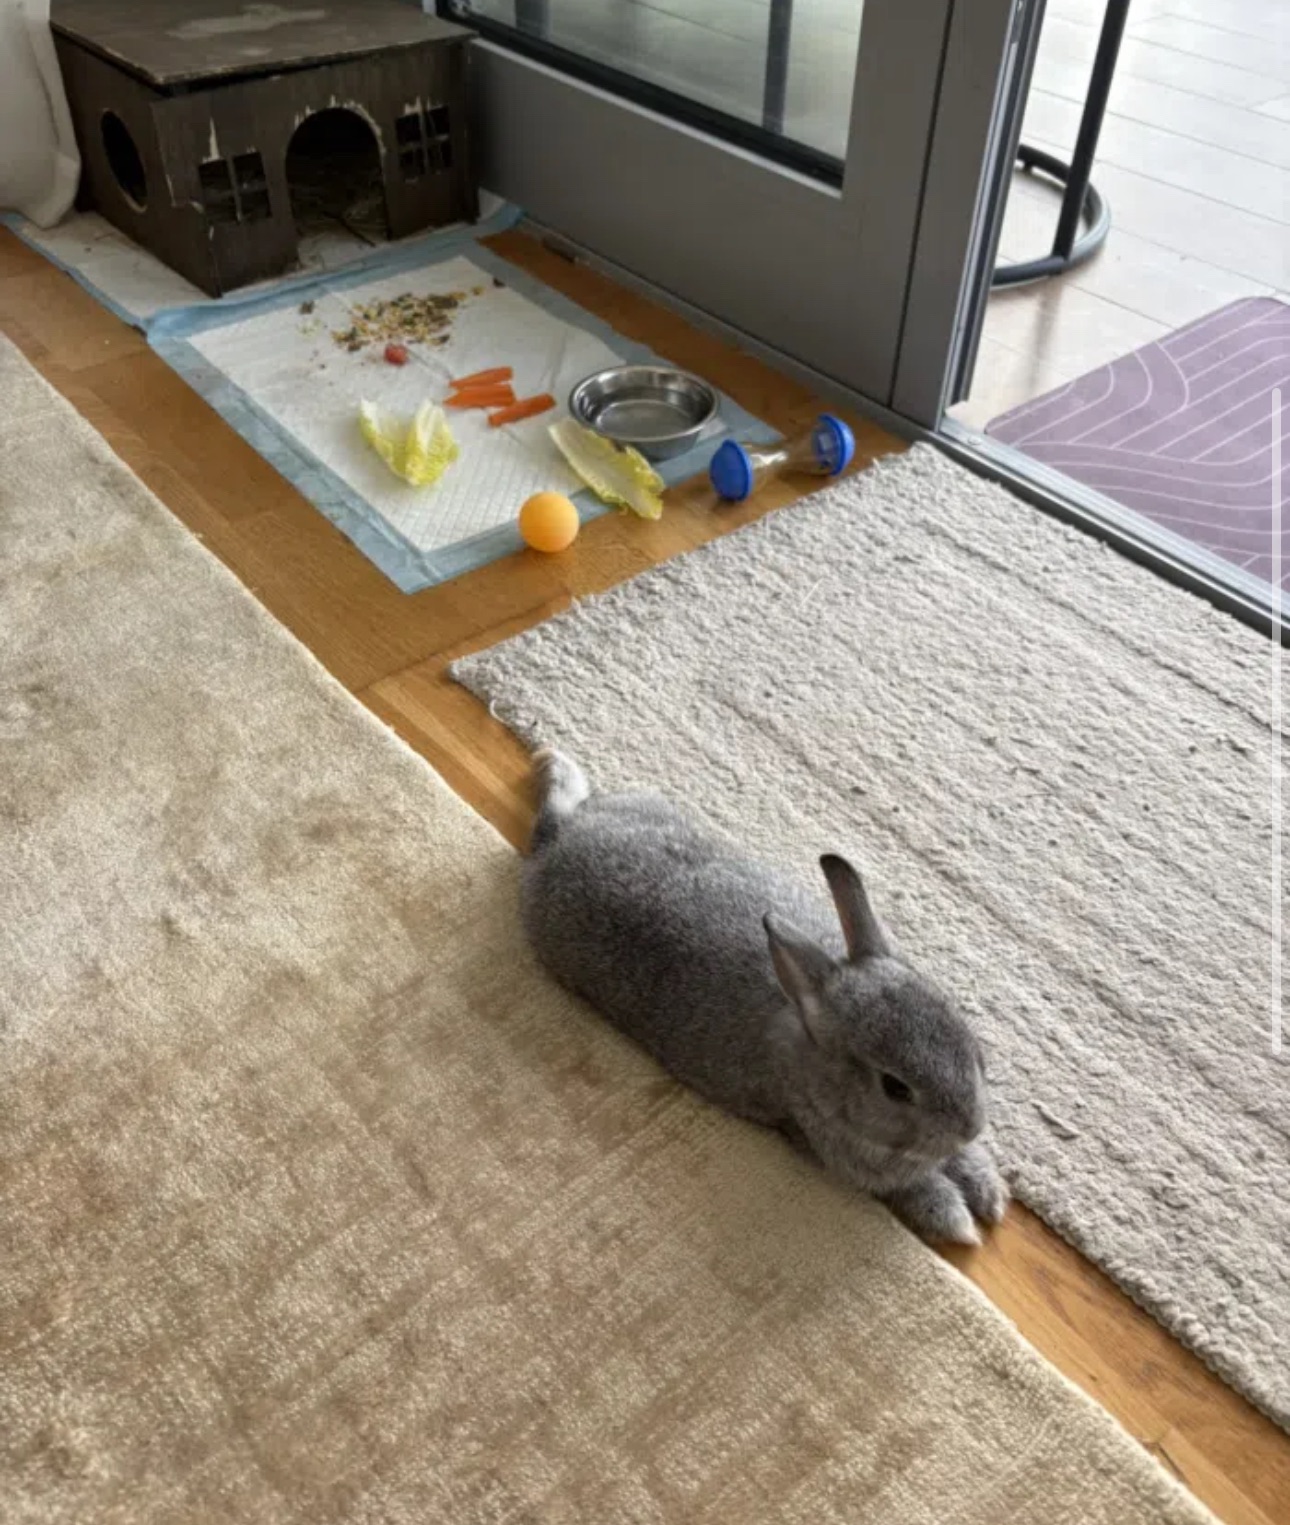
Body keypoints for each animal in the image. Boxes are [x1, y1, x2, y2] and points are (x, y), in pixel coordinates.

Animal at [523, 748, 1007, 1245]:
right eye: (895, 1087)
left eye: (974, 1049)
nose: (971, 1127)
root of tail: (563, 842)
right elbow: (918, 1188)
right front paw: (961, 1224)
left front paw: (989, 1193)